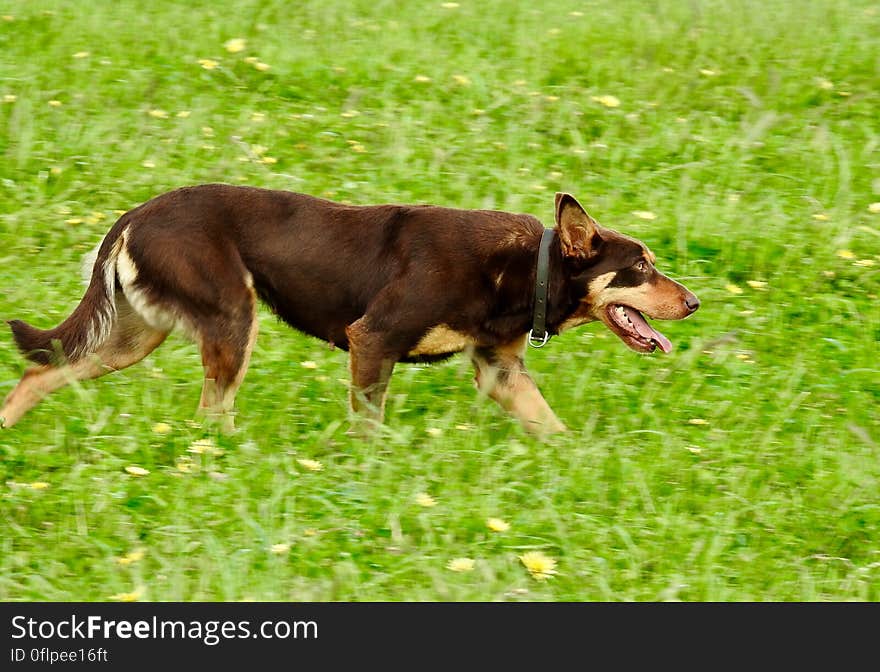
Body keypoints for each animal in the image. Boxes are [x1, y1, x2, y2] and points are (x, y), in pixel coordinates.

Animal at [1, 186, 700, 434]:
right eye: (642, 268)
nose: (694, 302)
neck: (528, 268)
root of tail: (138, 212)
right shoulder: (373, 339)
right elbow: (369, 428)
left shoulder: (502, 372)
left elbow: (553, 428)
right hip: (233, 318)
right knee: (211, 413)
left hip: (132, 337)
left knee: (41, 369)